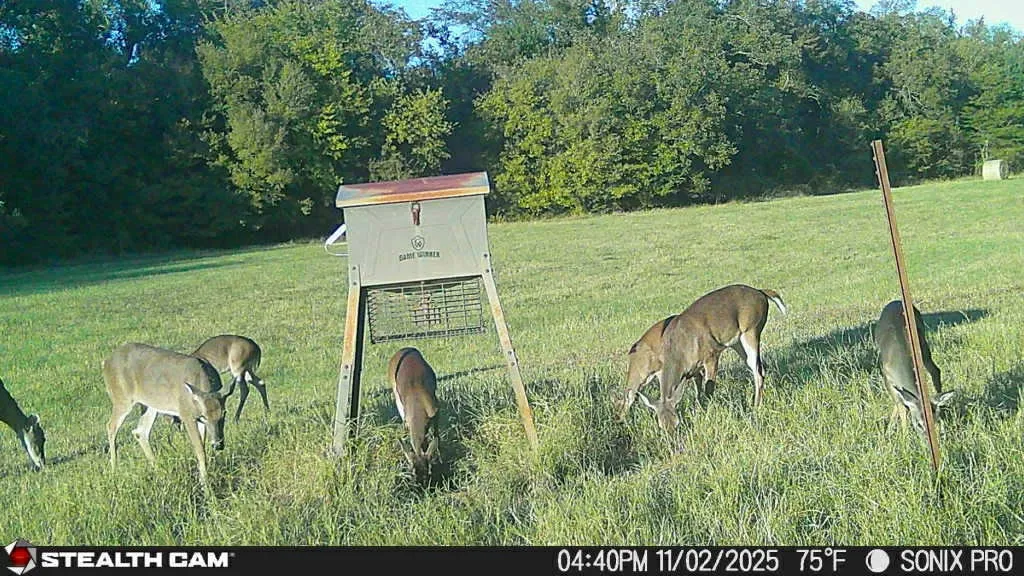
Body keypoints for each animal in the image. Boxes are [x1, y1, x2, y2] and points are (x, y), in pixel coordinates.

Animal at [103, 342, 234, 484]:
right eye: (203, 416)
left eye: (224, 413)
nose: (218, 445)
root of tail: (106, 362)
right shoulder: (186, 414)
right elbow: (199, 449)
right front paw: (205, 484)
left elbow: (202, 446)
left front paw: (202, 478)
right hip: (121, 398)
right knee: (111, 426)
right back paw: (114, 469)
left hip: (150, 405)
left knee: (140, 431)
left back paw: (158, 470)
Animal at [389, 347, 440, 483]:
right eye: (413, 474)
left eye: (428, 474)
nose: (422, 485)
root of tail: (403, 349)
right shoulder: (407, 421)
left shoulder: (436, 410)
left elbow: (436, 435)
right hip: (396, 394)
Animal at [639, 284, 788, 434]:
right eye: (661, 427)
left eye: (677, 424)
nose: (672, 436)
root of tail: (761, 292)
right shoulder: (693, 369)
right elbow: (698, 389)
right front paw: (698, 409)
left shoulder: (711, 354)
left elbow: (709, 388)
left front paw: (707, 413)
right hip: (737, 342)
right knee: (759, 368)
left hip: (751, 330)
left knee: (758, 371)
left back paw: (756, 407)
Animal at [873, 300, 955, 446]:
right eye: (918, 424)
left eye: (934, 422)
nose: (928, 442)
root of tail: (897, 301)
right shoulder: (886, 376)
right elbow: (900, 405)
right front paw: (904, 438)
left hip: (924, 347)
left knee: (935, 370)